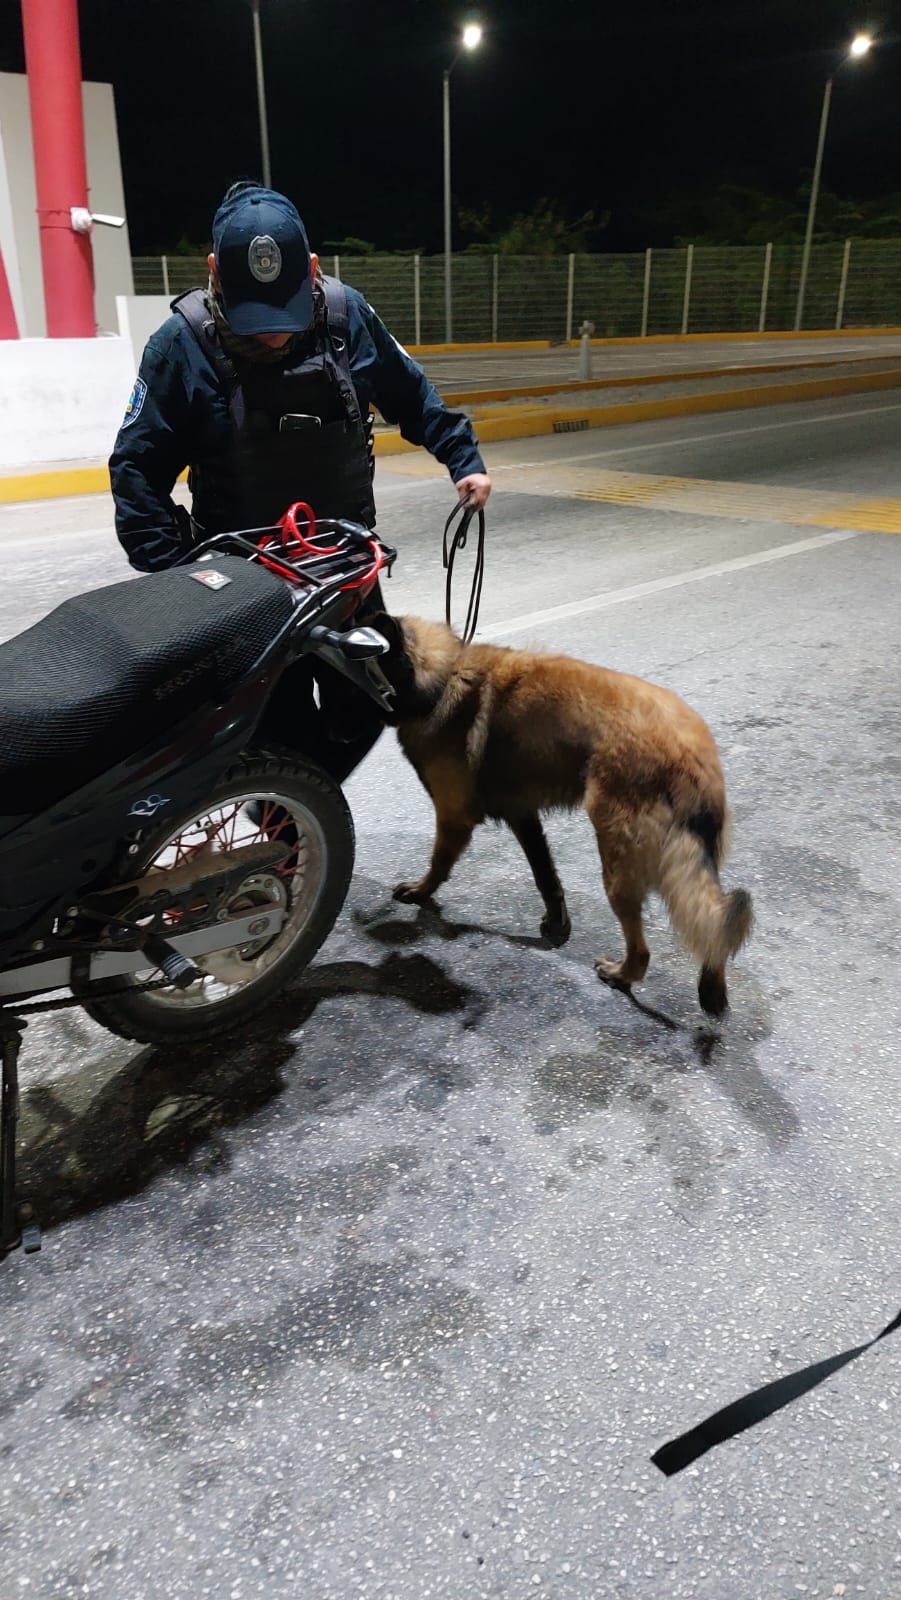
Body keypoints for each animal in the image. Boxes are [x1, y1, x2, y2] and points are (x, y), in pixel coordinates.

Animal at [374, 611, 755, 1011]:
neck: (442, 679)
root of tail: (689, 755)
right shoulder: (521, 814)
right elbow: (545, 874)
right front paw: (557, 924)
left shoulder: (453, 817)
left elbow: (439, 861)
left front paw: (421, 891)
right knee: (716, 922)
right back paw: (711, 987)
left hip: (617, 863)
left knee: (645, 947)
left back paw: (622, 975)